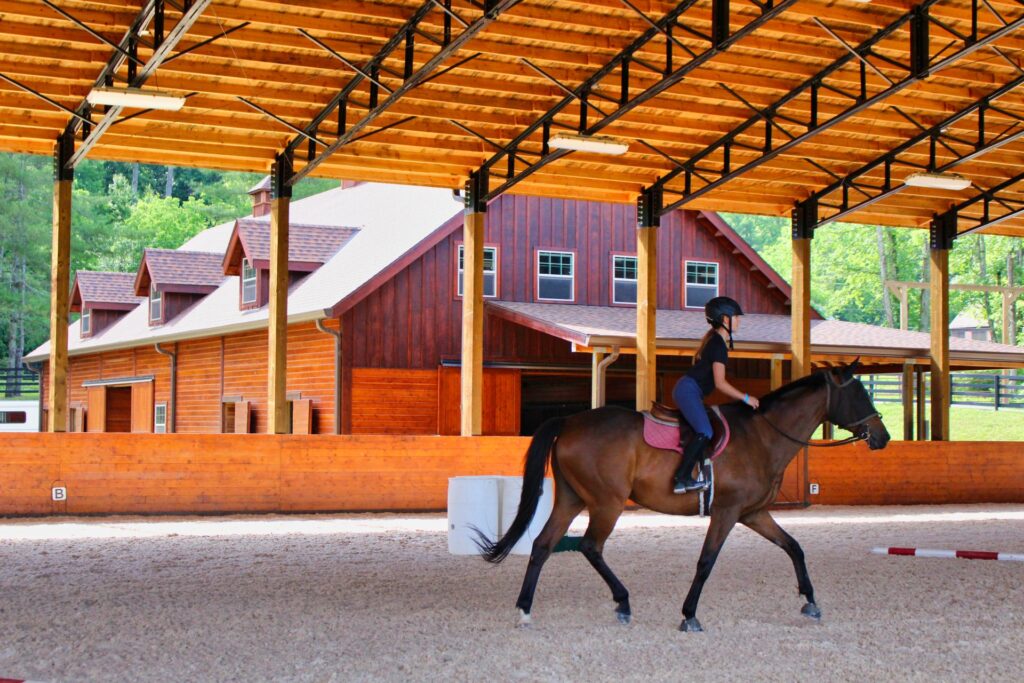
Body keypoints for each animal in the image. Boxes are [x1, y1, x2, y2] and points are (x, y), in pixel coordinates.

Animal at [477, 360, 888, 634]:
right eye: (858, 393)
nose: (882, 436)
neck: (762, 434)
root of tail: (569, 422)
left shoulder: (753, 513)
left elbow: (794, 547)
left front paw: (811, 601)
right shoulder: (727, 510)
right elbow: (706, 561)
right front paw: (689, 615)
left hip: (571, 500)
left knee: (543, 545)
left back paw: (525, 609)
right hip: (607, 503)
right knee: (590, 546)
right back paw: (622, 602)